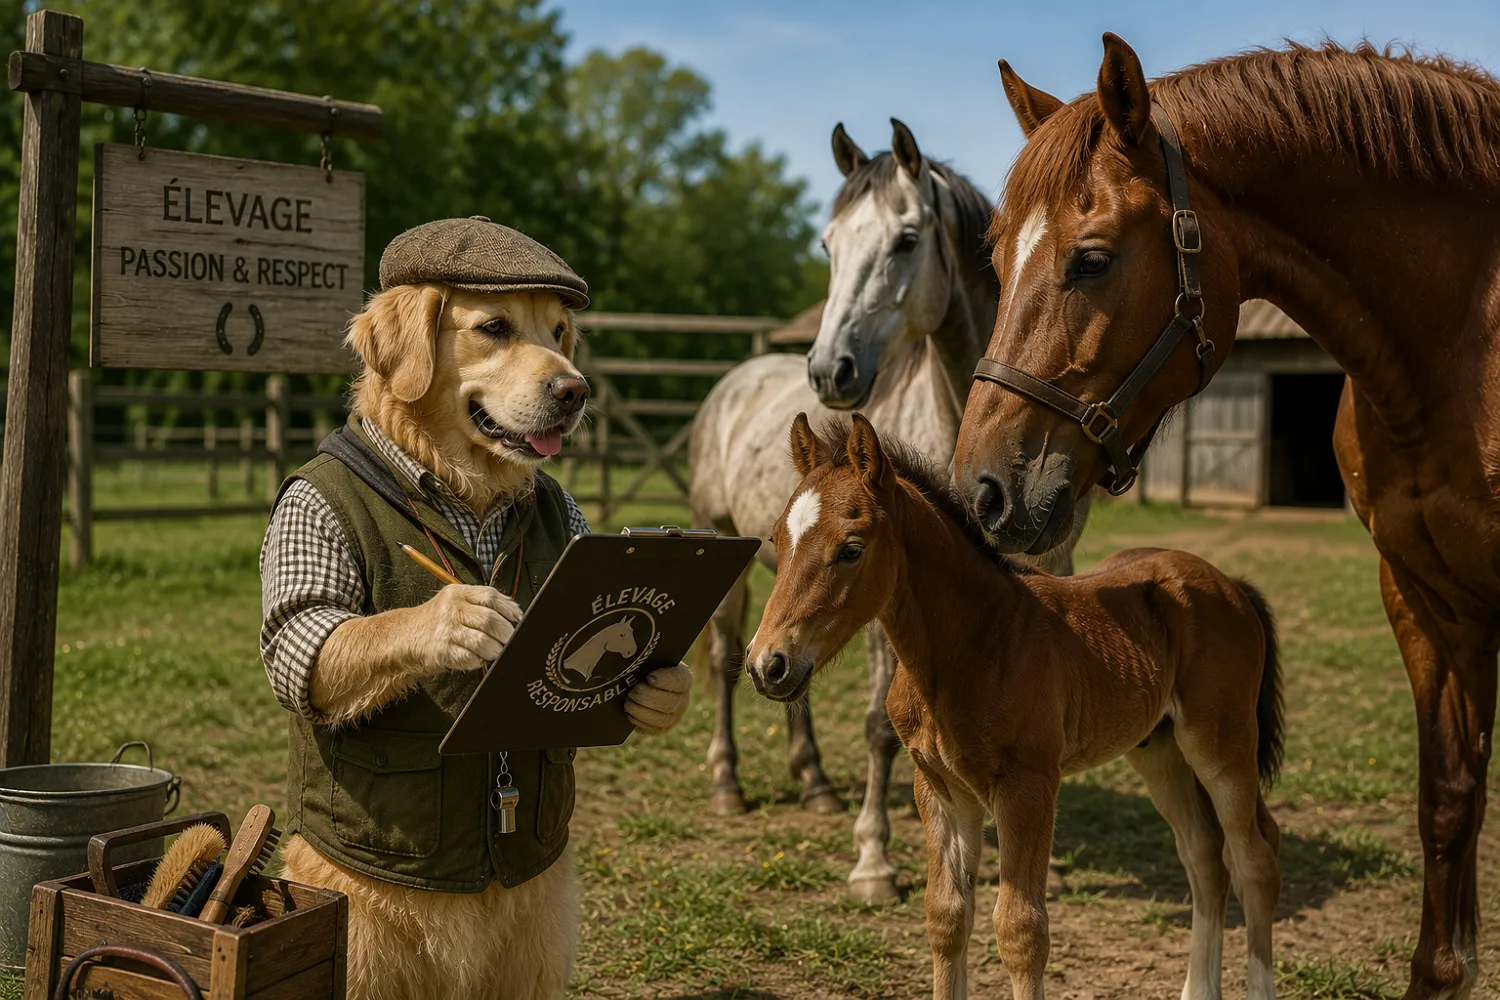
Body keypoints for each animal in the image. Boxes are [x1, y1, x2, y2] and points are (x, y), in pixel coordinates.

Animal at [689, 119, 1088, 903]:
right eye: (827, 245)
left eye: (906, 239)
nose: (829, 371)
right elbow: (878, 724)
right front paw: (873, 858)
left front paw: (1042, 861)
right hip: (725, 548)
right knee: (723, 661)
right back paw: (727, 785)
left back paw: (813, 781)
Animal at [747, 413, 1284, 1000]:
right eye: (775, 538)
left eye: (850, 547)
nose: (767, 664)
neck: (970, 644)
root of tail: (1229, 583)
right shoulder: (939, 787)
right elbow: (946, 916)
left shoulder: (1028, 786)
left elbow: (1021, 930)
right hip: (1159, 752)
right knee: (1205, 858)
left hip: (1220, 747)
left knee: (1254, 860)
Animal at [952, 35, 1500, 999]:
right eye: (996, 257)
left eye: (1092, 259)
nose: (982, 489)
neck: (1462, 334)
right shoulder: (1425, 600)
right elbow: (1448, 802)